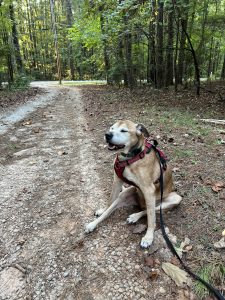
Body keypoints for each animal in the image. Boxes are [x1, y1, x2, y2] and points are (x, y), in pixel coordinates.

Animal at [85, 120, 182, 248]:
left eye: (123, 130)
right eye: (111, 128)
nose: (107, 135)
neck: (130, 157)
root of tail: (140, 204)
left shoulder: (149, 190)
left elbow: (151, 219)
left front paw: (148, 237)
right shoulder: (117, 181)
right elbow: (110, 200)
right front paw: (103, 210)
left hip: (174, 199)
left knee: (151, 211)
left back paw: (134, 216)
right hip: (124, 194)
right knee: (112, 209)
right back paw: (94, 223)